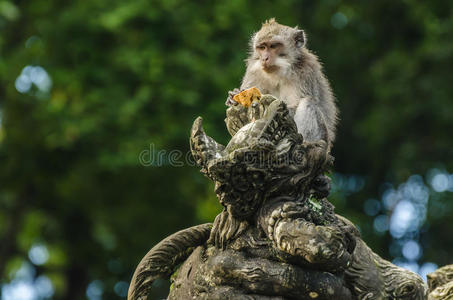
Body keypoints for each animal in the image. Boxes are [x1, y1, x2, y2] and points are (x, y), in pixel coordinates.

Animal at [228, 18, 338, 146]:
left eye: (273, 46)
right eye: (262, 47)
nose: (264, 58)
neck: (278, 73)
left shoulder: (305, 72)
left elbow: (294, 106)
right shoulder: (253, 71)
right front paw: (233, 96)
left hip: (323, 139)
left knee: (308, 102)